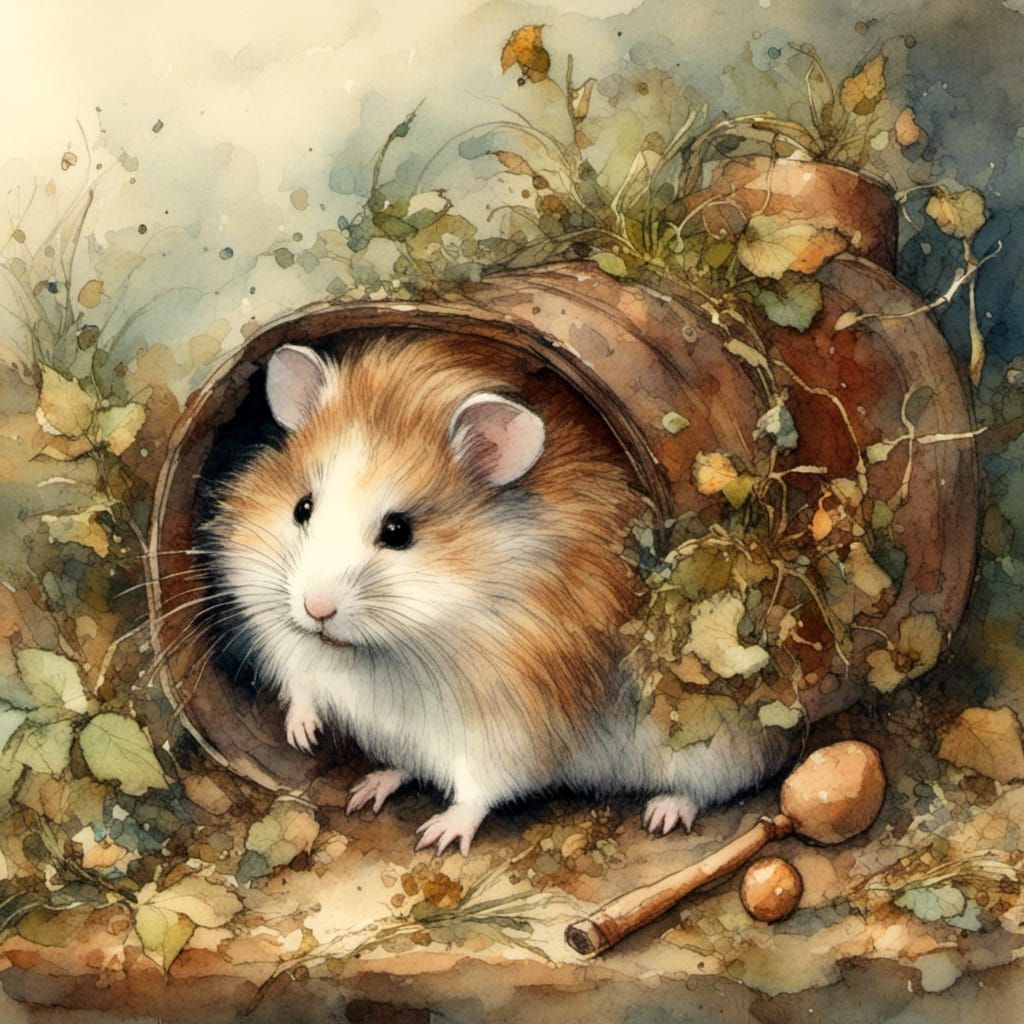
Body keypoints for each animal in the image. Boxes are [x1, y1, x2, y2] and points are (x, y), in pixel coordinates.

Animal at [206, 334, 787, 855]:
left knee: (708, 787)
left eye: (398, 531)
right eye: (301, 507)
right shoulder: (287, 643)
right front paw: (303, 737)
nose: (316, 610)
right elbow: (301, 686)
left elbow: (478, 788)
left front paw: (437, 837)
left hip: (715, 746)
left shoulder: (510, 725)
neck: (386, 647)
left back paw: (663, 815)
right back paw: (368, 788)